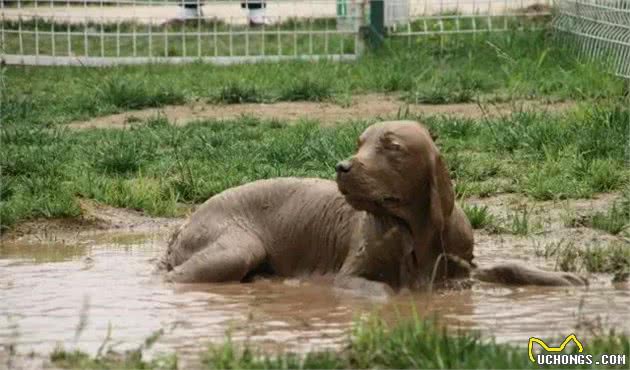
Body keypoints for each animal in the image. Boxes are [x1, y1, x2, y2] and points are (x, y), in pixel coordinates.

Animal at [159, 120, 588, 294]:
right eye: (360, 143)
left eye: (391, 147)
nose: (341, 166)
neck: (413, 231)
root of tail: (183, 225)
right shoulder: (348, 276)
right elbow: (385, 292)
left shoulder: (461, 270)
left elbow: (509, 268)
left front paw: (565, 279)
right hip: (238, 247)